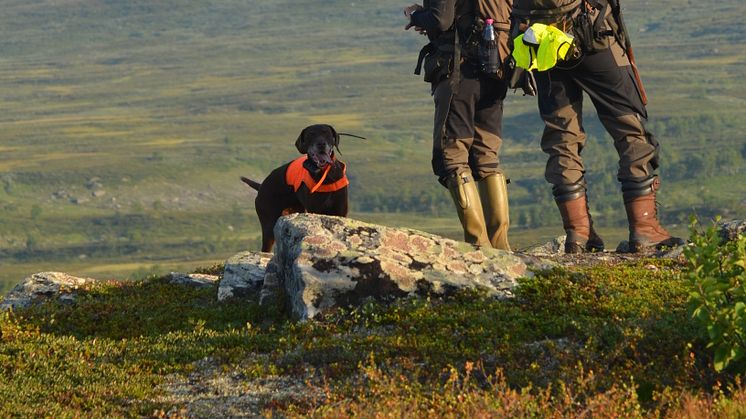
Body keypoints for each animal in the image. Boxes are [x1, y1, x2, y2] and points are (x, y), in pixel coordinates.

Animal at [243, 124, 350, 253]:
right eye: (311, 134)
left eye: (326, 133)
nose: (321, 144)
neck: (324, 175)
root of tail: (261, 186)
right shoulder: (315, 209)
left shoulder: (341, 211)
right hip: (268, 226)